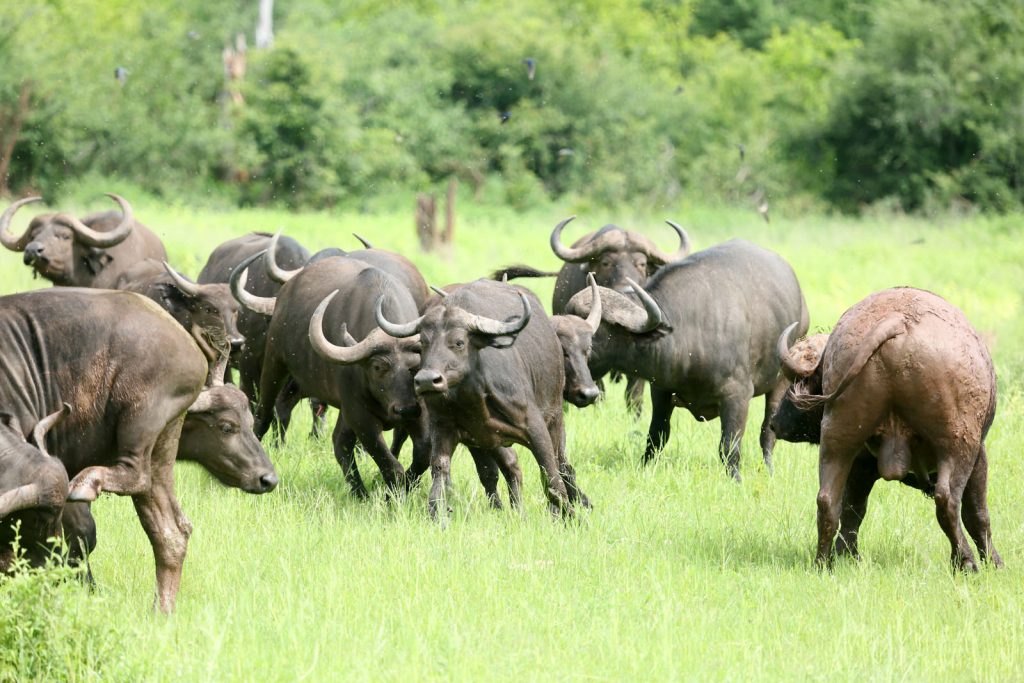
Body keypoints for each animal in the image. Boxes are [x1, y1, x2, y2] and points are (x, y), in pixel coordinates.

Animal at [377, 279, 588, 517]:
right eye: (423, 343)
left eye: (459, 342)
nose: (426, 380)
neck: (474, 398)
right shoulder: (444, 431)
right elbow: (439, 481)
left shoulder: (536, 428)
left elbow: (552, 481)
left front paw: (572, 517)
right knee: (505, 466)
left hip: (555, 418)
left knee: (562, 466)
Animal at [567, 239, 808, 480]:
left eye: (593, 330)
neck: (688, 331)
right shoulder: (660, 391)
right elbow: (656, 436)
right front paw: (644, 468)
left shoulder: (737, 396)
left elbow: (729, 447)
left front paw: (736, 480)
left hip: (781, 383)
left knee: (768, 432)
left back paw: (770, 470)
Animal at [771, 287, 1000, 571]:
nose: (775, 422)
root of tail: (896, 321)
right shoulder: (980, 455)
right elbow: (978, 514)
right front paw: (995, 562)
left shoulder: (863, 462)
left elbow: (853, 507)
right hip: (958, 444)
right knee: (947, 500)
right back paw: (966, 563)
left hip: (839, 436)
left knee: (828, 501)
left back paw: (825, 562)